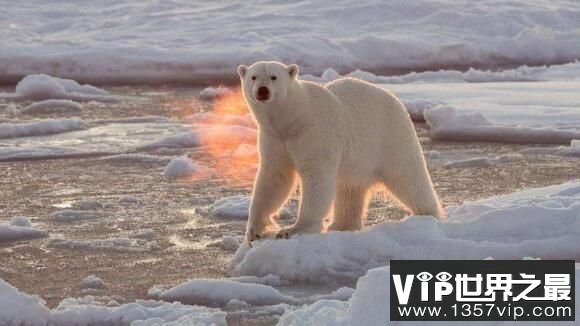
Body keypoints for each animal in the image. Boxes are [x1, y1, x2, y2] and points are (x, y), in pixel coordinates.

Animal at [238, 62, 442, 243]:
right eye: (253, 77)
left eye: (274, 77)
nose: (262, 90)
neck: (293, 119)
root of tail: (395, 99)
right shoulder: (274, 138)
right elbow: (275, 177)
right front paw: (253, 231)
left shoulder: (315, 133)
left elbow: (316, 176)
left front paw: (292, 229)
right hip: (358, 162)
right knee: (349, 190)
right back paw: (342, 225)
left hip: (391, 137)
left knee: (409, 178)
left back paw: (428, 215)